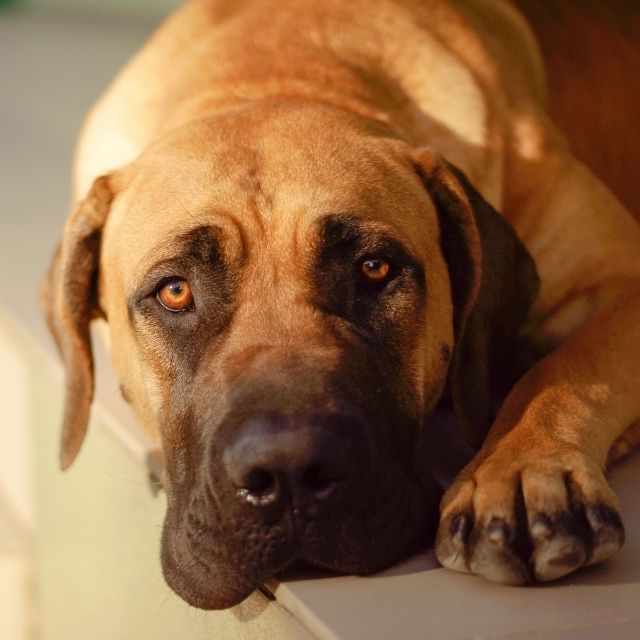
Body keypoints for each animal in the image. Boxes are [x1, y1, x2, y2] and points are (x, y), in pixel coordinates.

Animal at [41, 0, 640, 608]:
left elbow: (567, 372)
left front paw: (521, 470)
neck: (277, 69)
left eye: (374, 269)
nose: (289, 470)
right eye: (175, 291)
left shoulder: (621, 275)